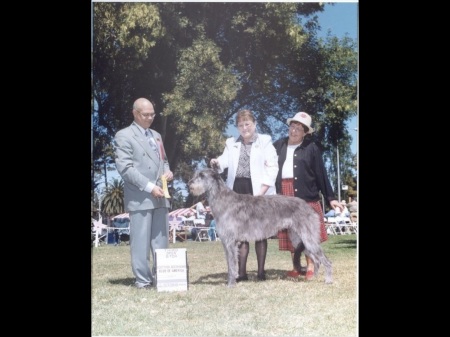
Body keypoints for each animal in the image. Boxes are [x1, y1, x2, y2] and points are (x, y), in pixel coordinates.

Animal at [188, 168, 332, 286]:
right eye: (196, 174)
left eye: (202, 175)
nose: (189, 184)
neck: (223, 200)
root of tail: (309, 207)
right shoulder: (228, 242)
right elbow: (231, 263)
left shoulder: (230, 242)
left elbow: (232, 264)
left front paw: (231, 284)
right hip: (298, 239)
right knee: (316, 259)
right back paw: (314, 277)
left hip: (308, 237)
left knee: (326, 260)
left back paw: (328, 280)